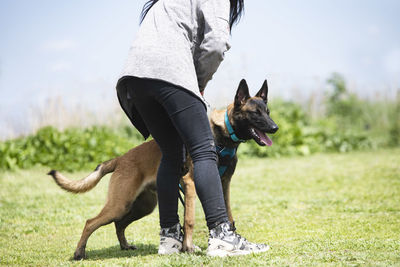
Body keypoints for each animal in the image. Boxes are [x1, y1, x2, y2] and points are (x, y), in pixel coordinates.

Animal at [47, 79, 278, 260]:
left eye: (267, 112)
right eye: (255, 113)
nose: (275, 128)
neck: (221, 135)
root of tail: (121, 159)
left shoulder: (224, 184)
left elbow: (227, 214)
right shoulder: (191, 184)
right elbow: (189, 220)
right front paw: (188, 247)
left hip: (143, 206)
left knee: (119, 224)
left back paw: (124, 246)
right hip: (120, 204)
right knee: (90, 222)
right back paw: (79, 253)